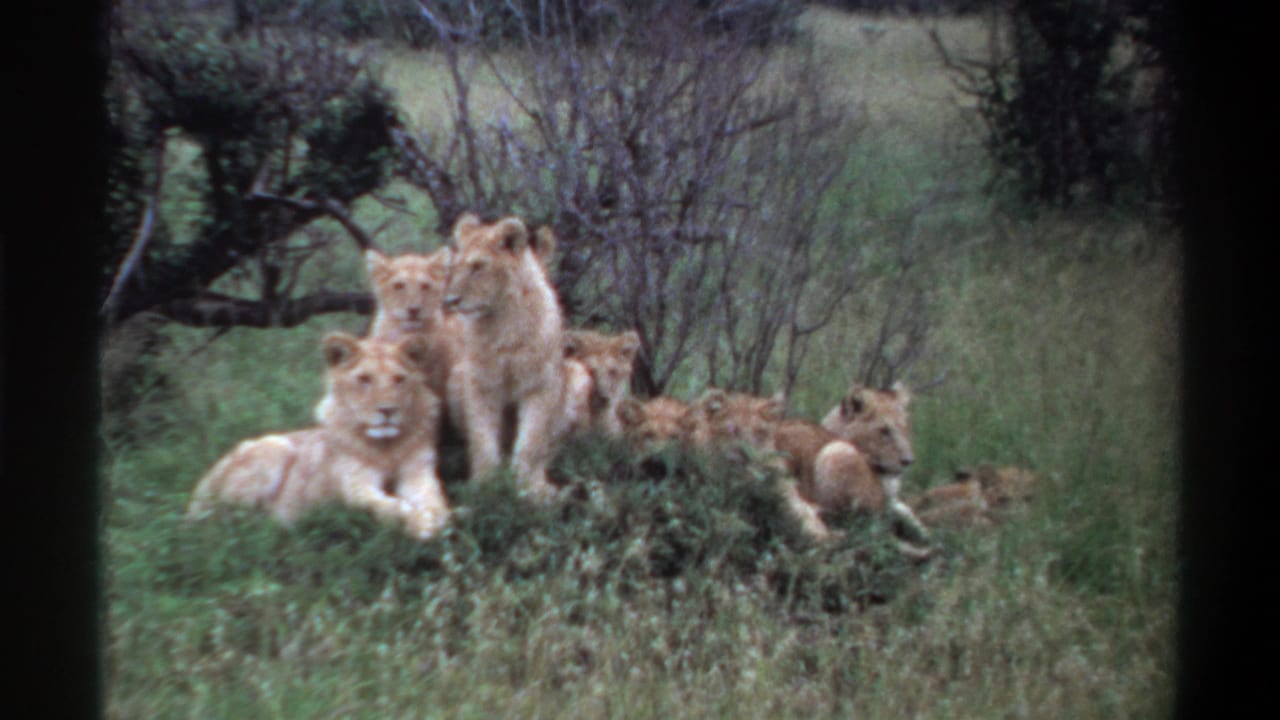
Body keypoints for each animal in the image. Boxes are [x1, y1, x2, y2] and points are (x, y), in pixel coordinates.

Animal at [186, 332, 450, 540]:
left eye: (399, 379)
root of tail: (196, 494)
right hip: (275, 447)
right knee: (224, 523)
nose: (388, 410)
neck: (387, 447)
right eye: (364, 379)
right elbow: (389, 506)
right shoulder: (356, 487)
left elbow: (433, 498)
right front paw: (420, 523)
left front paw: (439, 517)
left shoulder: (418, 473)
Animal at [441, 213, 568, 499]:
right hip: (455, 380)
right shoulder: (480, 384)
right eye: (455, 266)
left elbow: (531, 441)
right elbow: (483, 439)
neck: (502, 321)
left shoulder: (540, 384)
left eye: (478, 266)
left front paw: (528, 487)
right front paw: (485, 485)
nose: (451, 300)